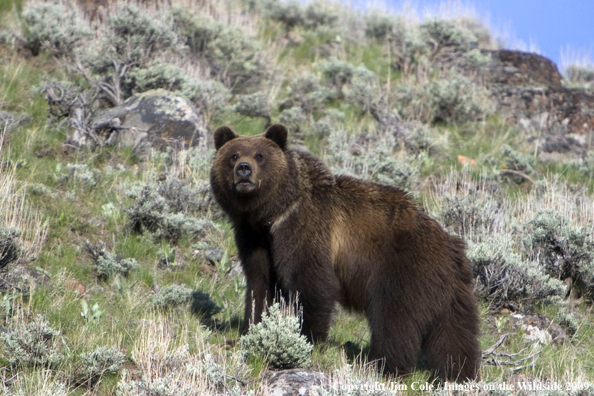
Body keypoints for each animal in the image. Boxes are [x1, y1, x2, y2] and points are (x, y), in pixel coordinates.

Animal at [210, 124, 478, 384]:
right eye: (233, 155)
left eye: (259, 155)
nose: (244, 170)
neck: (271, 215)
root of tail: (451, 248)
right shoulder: (254, 238)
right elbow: (260, 285)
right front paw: (252, 328)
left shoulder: (306, 228)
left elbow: (313, 283)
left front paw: (310, 338)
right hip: (453, 295)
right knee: (454, 336)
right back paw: (458, 374)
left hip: (404, 272)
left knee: (394, 322)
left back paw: (386, 367)